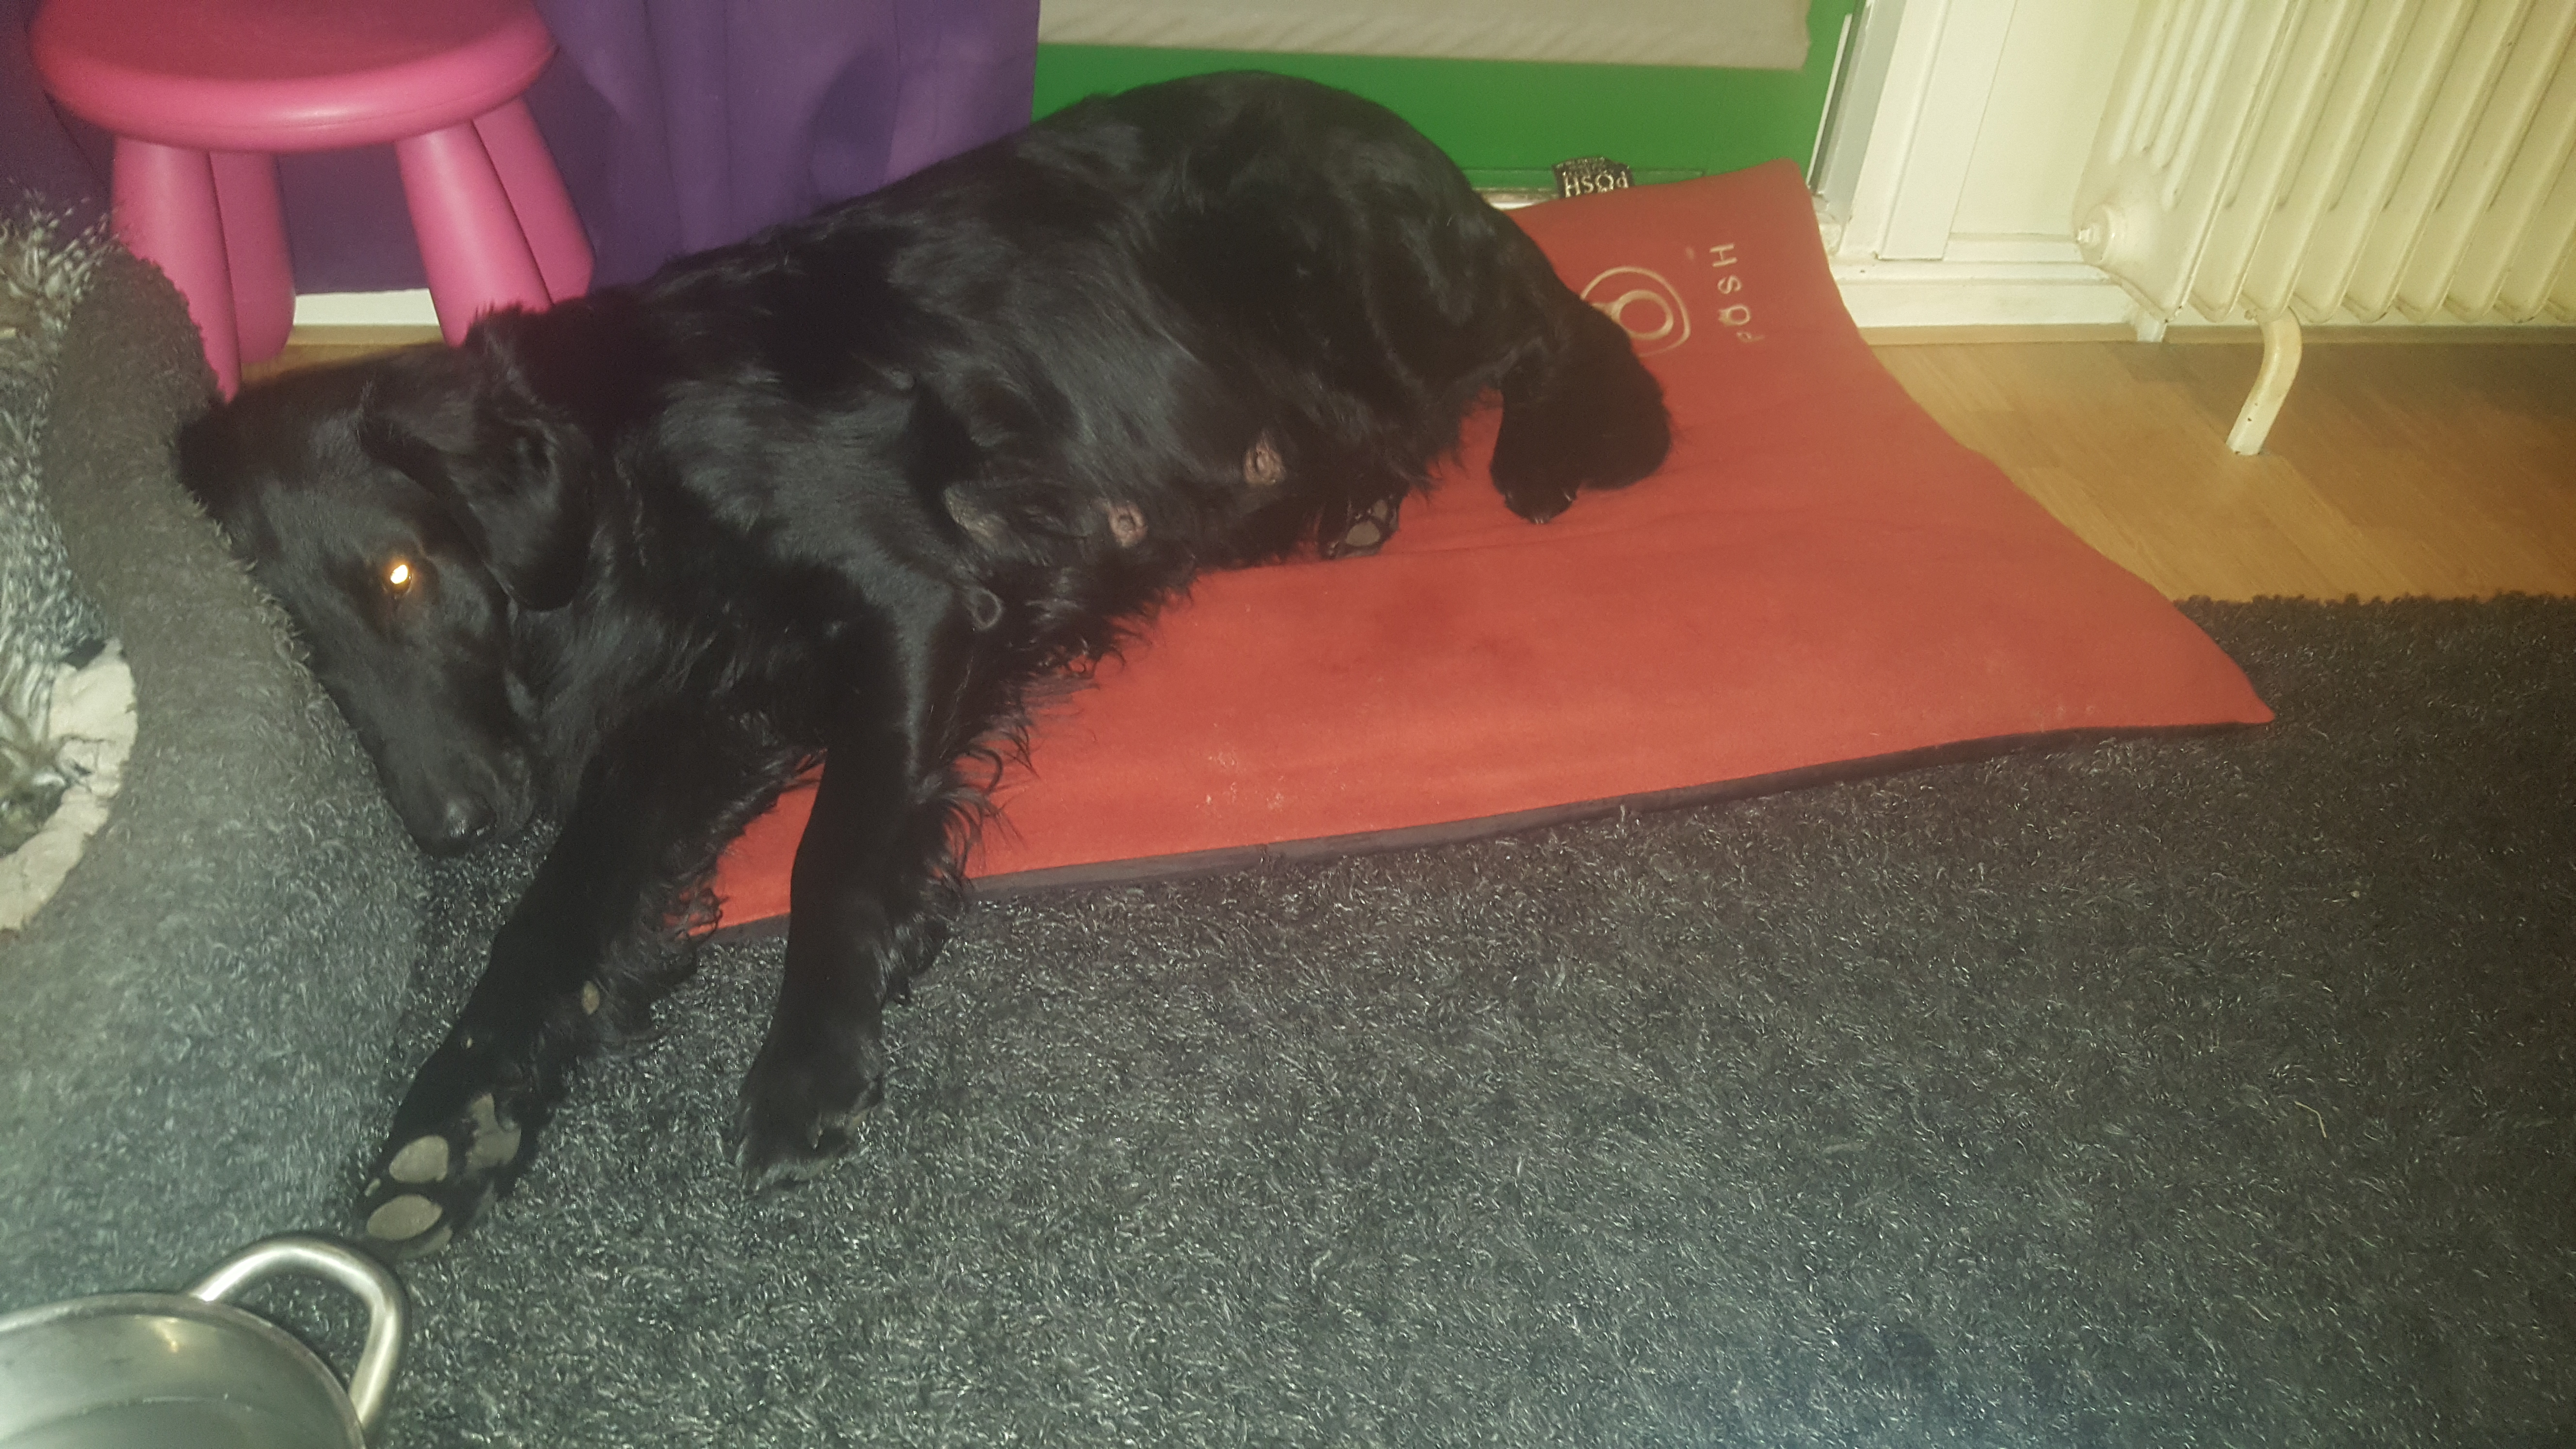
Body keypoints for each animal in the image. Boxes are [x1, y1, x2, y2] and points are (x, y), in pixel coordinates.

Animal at [177, 72, 1670, 1255]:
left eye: (401, 576)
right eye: (303, 648)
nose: (452, 826)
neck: (615, 480)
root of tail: (1411, 145)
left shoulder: (913, 597)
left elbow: (833, 847)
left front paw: (807, 1059)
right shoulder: (699, 718)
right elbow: (554, 919)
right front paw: (458, 1109)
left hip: (1348, 278)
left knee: (1549, 319)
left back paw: (1558, 435)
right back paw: (1344, 504)